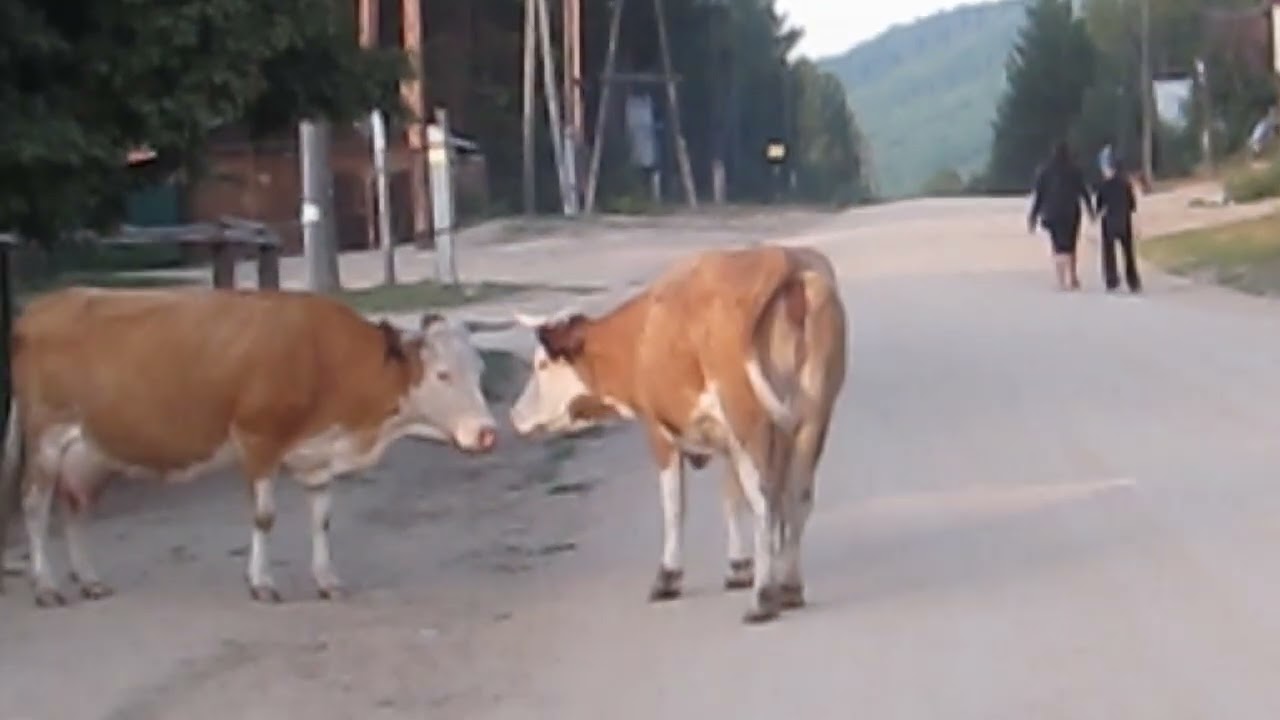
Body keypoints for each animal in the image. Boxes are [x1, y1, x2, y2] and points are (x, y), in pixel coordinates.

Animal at [0, 286, 498, 607]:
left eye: (478, 370)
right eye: (442, 375)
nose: (488, 432)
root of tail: (40, 308)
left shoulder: (317, 457)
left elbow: (322, 520)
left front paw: (327, 580)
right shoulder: (258, 440)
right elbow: (265, 517)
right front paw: (261, 583)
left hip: (88, 451)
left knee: (74, 506)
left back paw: (89, 579)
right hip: (45, 437)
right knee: (35, 507)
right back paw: (46, 586)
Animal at [509, 245, 847, 624]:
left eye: (541, 365)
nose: (514, 415)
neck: (638, 337)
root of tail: (783, 261)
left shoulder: (660, 431)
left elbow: (674, 506)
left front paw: (668, 576)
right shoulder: (731, 443)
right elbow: (731, 499)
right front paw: (738, 568)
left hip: (750, 418)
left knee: (765, 501)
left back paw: (763, 598)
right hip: (812, 417)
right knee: (797, 496)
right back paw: (788, 586)